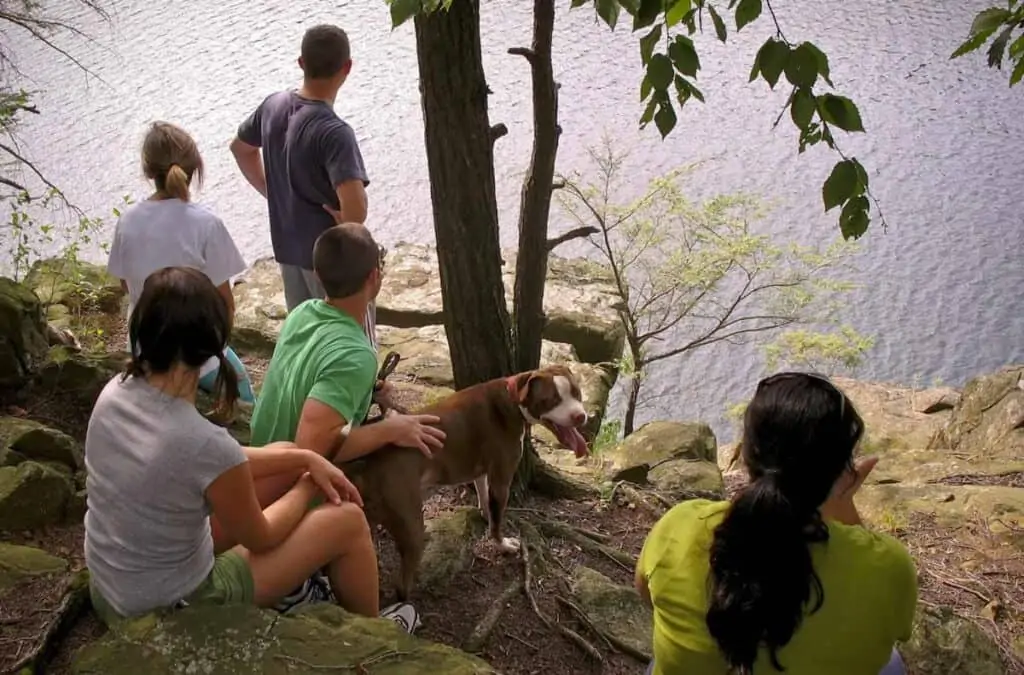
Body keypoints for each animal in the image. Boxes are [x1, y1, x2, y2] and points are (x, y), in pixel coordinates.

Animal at [342, 364, 589, 602]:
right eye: (552, 400)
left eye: (577, 393)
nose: (580, 416)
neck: (512, 399)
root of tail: (366, 463)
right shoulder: (502, 478)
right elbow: (498, 522)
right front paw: (502, 544)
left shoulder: (482, 473)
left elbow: (486, 501)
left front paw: (486, 515)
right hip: (411, 527)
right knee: (402, 584)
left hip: (367, 517)